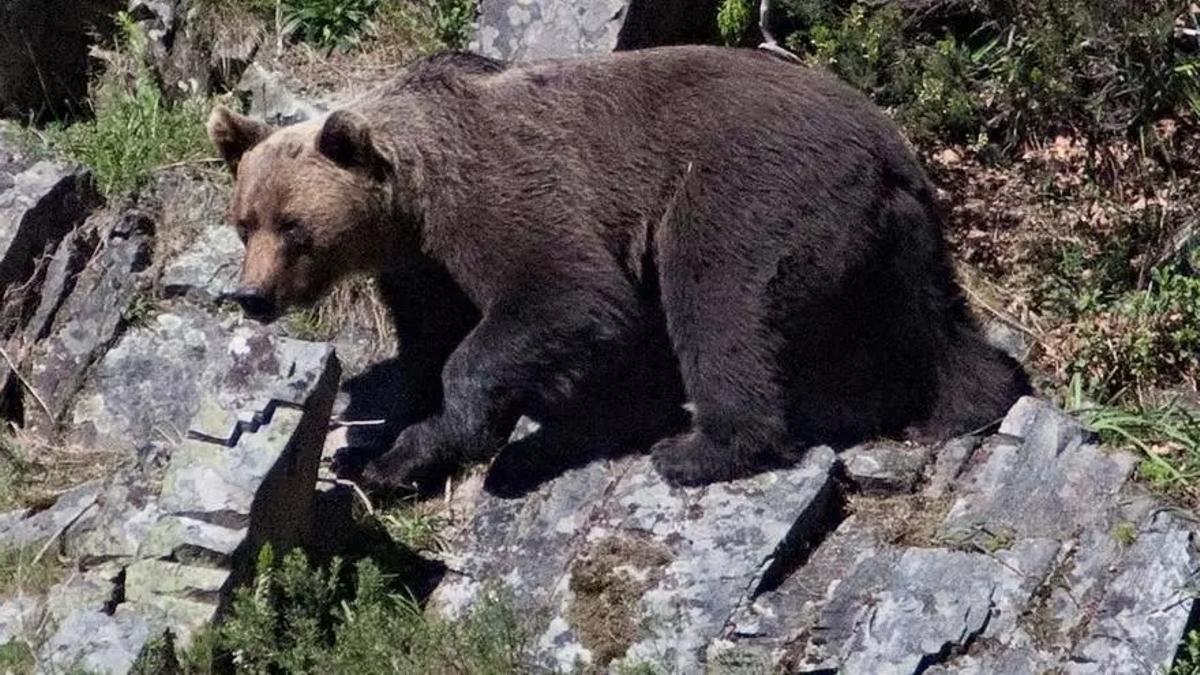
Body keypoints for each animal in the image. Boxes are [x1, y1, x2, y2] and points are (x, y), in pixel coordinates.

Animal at [206, 45, 1032, 487]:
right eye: (245, 222)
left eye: (294, 227)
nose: (252, 295)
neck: (413, 200)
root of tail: (890, 144)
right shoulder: (420, 267)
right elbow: (427, 344)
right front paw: (386, 454)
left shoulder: (503, 194)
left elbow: (568, 295)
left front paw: (462, 434)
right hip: (899, 240)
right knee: (930, 321)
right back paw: (969, 400)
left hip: (752, 191)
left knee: (720, 298)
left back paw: (700, 447)